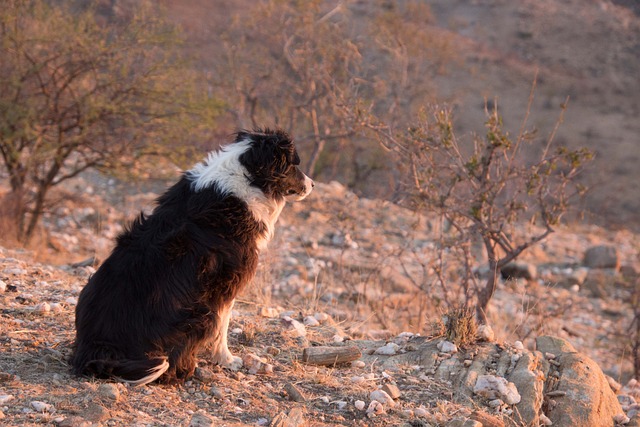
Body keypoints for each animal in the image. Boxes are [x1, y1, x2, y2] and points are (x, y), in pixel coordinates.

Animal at [70, 129, 316, 386]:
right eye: (294, 165)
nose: (312, 184)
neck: (247, 178)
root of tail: (95, 349)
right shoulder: (226, 283)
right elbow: (223, 326)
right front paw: (227, 360)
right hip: (198, 314)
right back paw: (185, 370)